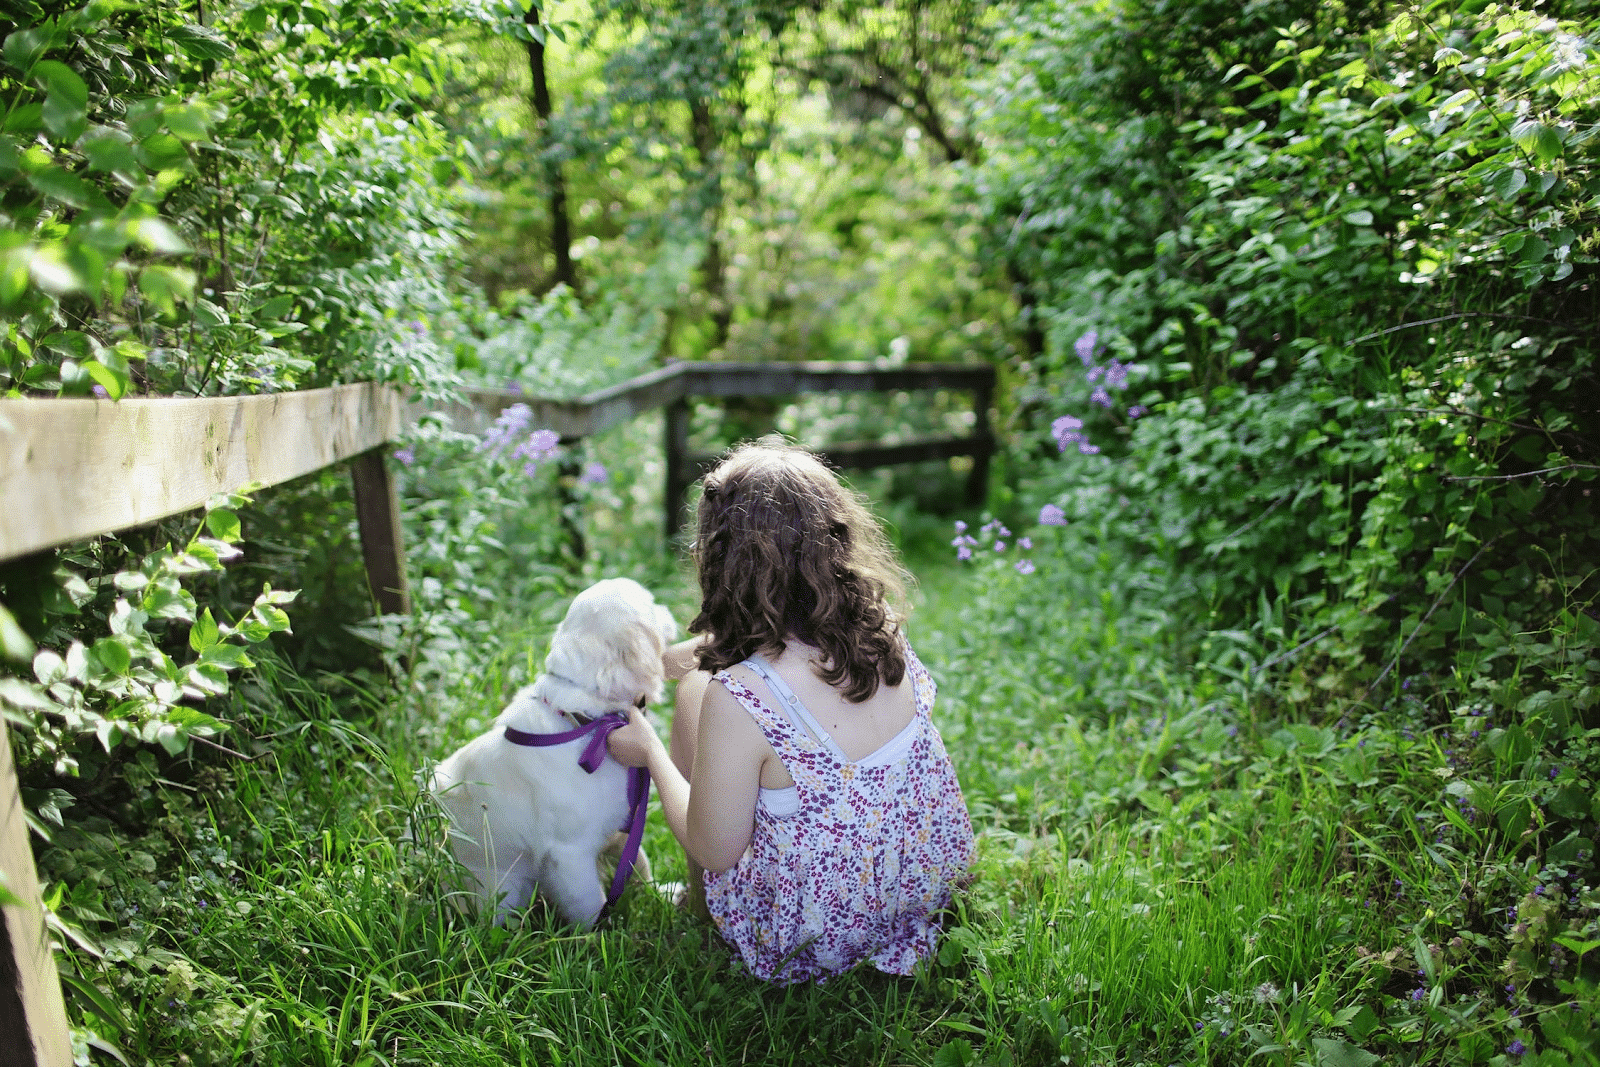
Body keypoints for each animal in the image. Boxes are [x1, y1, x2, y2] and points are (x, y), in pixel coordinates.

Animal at [428, 575, 672, 927]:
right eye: (651, 605)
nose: (669, 609)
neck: (586, 723)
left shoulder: (621, 824)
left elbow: (638, 862)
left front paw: (663, 893)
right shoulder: (569, 854)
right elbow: (591, 904)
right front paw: (602, 937)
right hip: (505, 890)